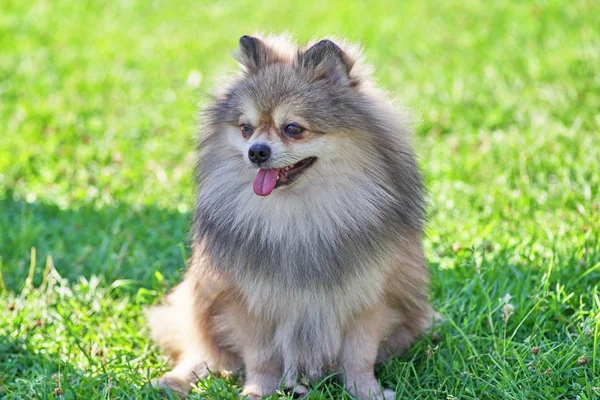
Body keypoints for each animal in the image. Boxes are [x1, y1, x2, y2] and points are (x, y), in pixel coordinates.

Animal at [146, 35, 436, 400]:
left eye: (293, 129)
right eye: (246, 128)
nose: (256, 151)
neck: (297, 213)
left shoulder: (371, 298)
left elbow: (360, 354)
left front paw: (365, 391)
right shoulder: (246, 302)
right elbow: (260, 358)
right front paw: (257, 391)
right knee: (201, 349)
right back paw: (177, 379)